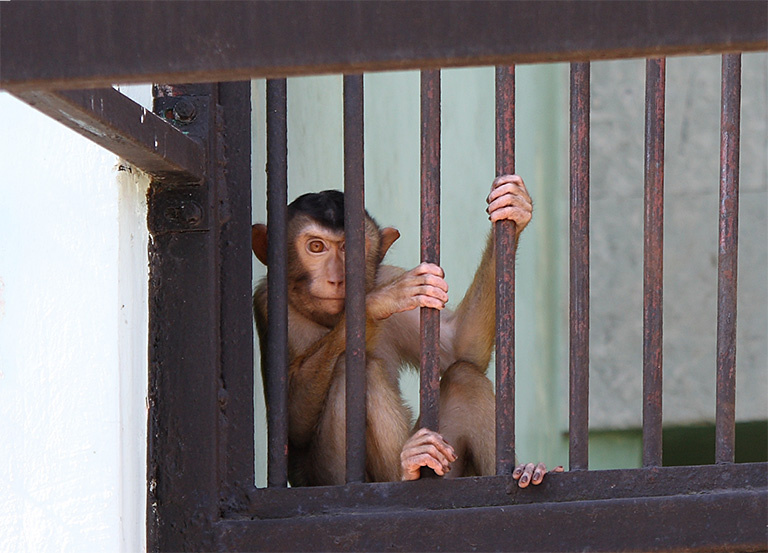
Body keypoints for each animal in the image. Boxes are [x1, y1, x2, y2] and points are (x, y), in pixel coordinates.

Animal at [252, 175, 561, 487]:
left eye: (352, 249)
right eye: (316, 247)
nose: (336, 279)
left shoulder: (388, 274)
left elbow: (459, 347)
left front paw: (514, 206)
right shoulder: (269, 302)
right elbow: (290, 419)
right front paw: (376, 302)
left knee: (463, 377)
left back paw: (525, 471)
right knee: (355, 370)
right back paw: (407, 467)